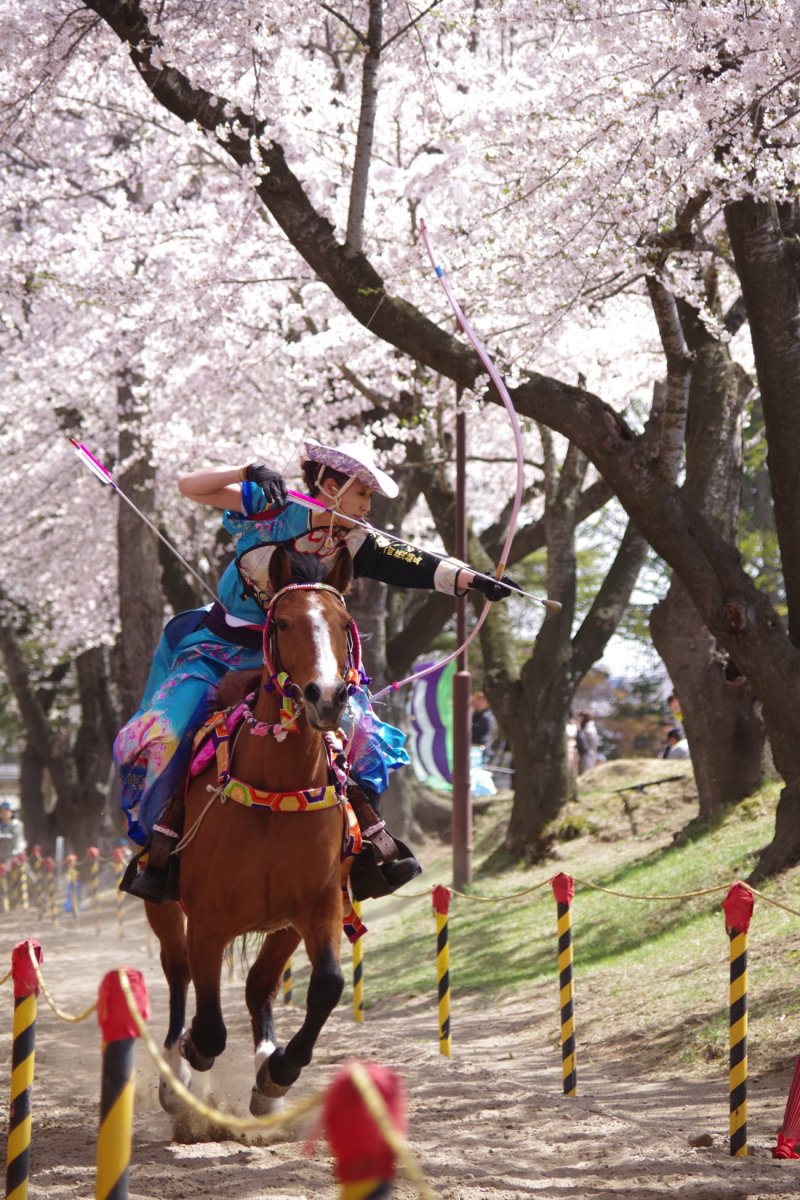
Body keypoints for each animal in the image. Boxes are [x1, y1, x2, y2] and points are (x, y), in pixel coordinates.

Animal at [145, 549, 357, 1118]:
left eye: (343, 624)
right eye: (281, 622)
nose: (327, 696)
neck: (276, 791)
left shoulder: (319, 903)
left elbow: (328, 985)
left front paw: (278, 1074)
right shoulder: (208, 917)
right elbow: (210, 1027)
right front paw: (192, 1054)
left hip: (283, 926)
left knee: (260, 984)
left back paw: (265, 1069)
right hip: (161, 903)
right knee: (178, 973)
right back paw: (175, 1072)